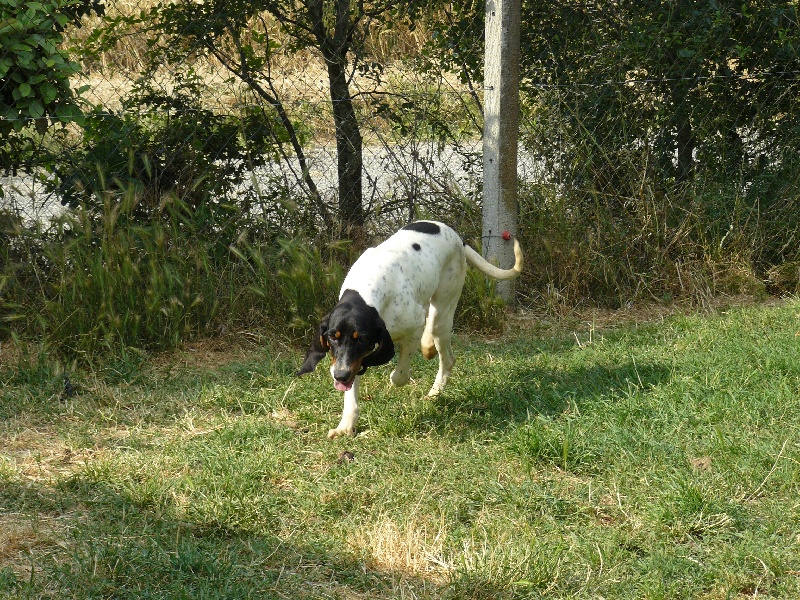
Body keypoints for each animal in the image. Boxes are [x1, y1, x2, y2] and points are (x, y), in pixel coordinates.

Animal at [297, 221, 523, 438]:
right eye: (332, 338)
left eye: (360, 338)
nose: (340, 376)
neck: (368, 290)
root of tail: (457, 236)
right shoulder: (354, 360)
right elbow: (351, 393)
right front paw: (345, 426)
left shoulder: (410, 329)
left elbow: (399, 375)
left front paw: (398, 373)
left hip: (442, 310)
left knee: (444, 352)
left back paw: (433, 379)